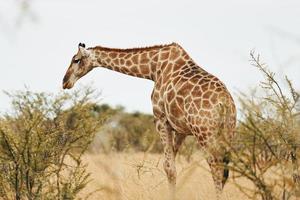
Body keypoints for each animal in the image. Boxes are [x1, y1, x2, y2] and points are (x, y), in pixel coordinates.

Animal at [62, 41, 237, 198]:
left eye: (76, 59)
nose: (65, 82)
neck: (152, 69)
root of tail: (225, 103)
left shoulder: (161, 120)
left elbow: (169, 168)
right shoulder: (181, 129)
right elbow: (171, 164)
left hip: (204, 133)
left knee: (215, 167)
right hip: (227, 132)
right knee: (224, 171)